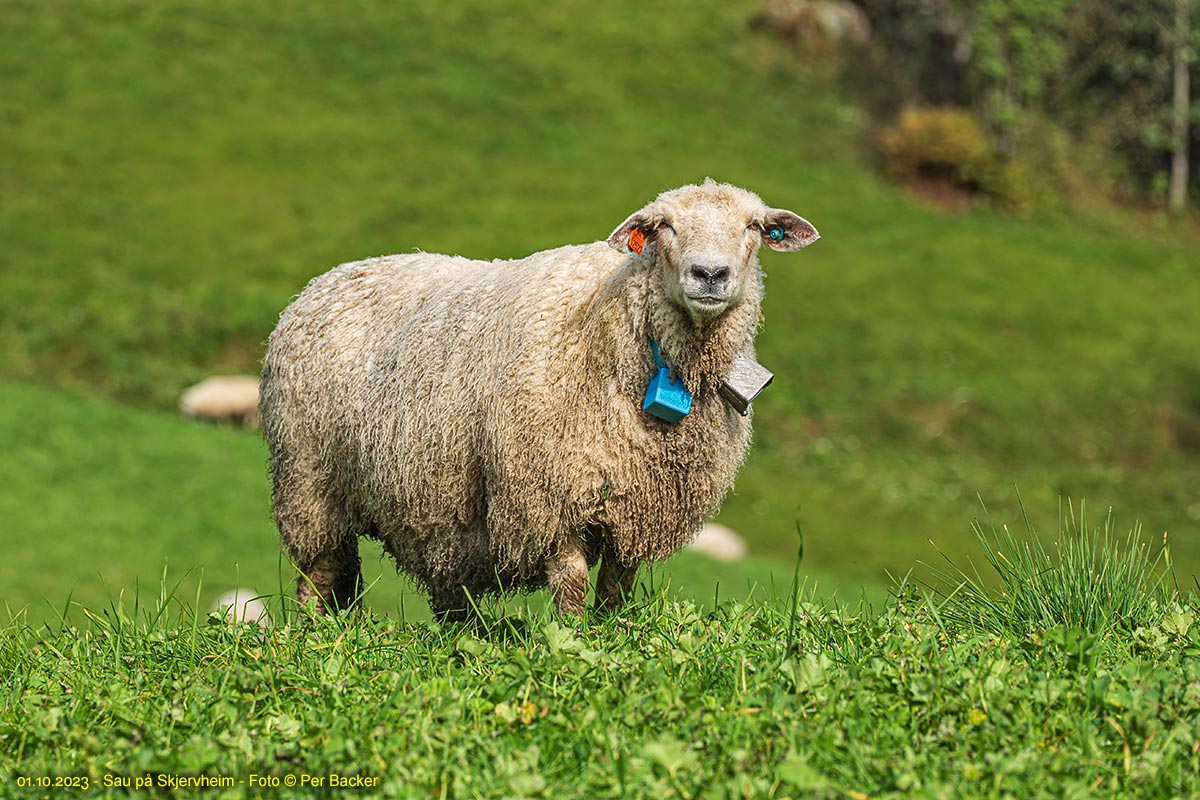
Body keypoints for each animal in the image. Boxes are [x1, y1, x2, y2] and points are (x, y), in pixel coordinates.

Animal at [262, 178, 820, 623]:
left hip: (438, 510)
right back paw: (312, 636)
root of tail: (324, 281)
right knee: (317, 573)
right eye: (664, 226)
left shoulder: (635, 505)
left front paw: (609, 633)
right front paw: (571, 642)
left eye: (754, 226)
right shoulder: (551, 494)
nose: (710, 274)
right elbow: (572, 583)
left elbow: (617, 585)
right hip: (309, 482)